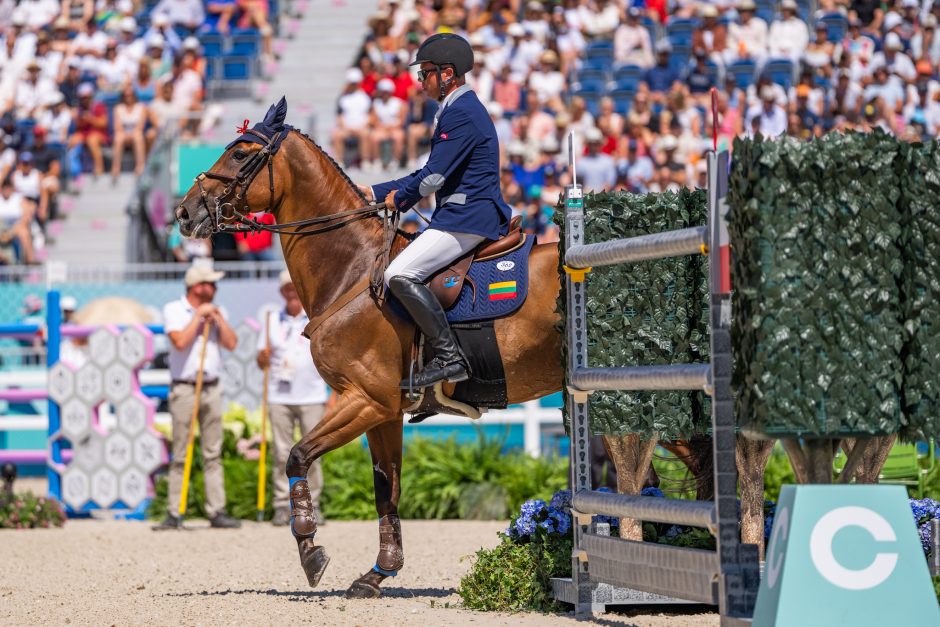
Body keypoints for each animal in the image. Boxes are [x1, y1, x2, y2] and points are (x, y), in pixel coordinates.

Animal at [175, 102, 560, 600]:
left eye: (240, 154)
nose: (184, 212)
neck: (351, 270)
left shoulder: (365, 398)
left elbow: (298, 455)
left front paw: (310, 549)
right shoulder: (384, 413)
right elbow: (386, 491)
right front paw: (379, 573)